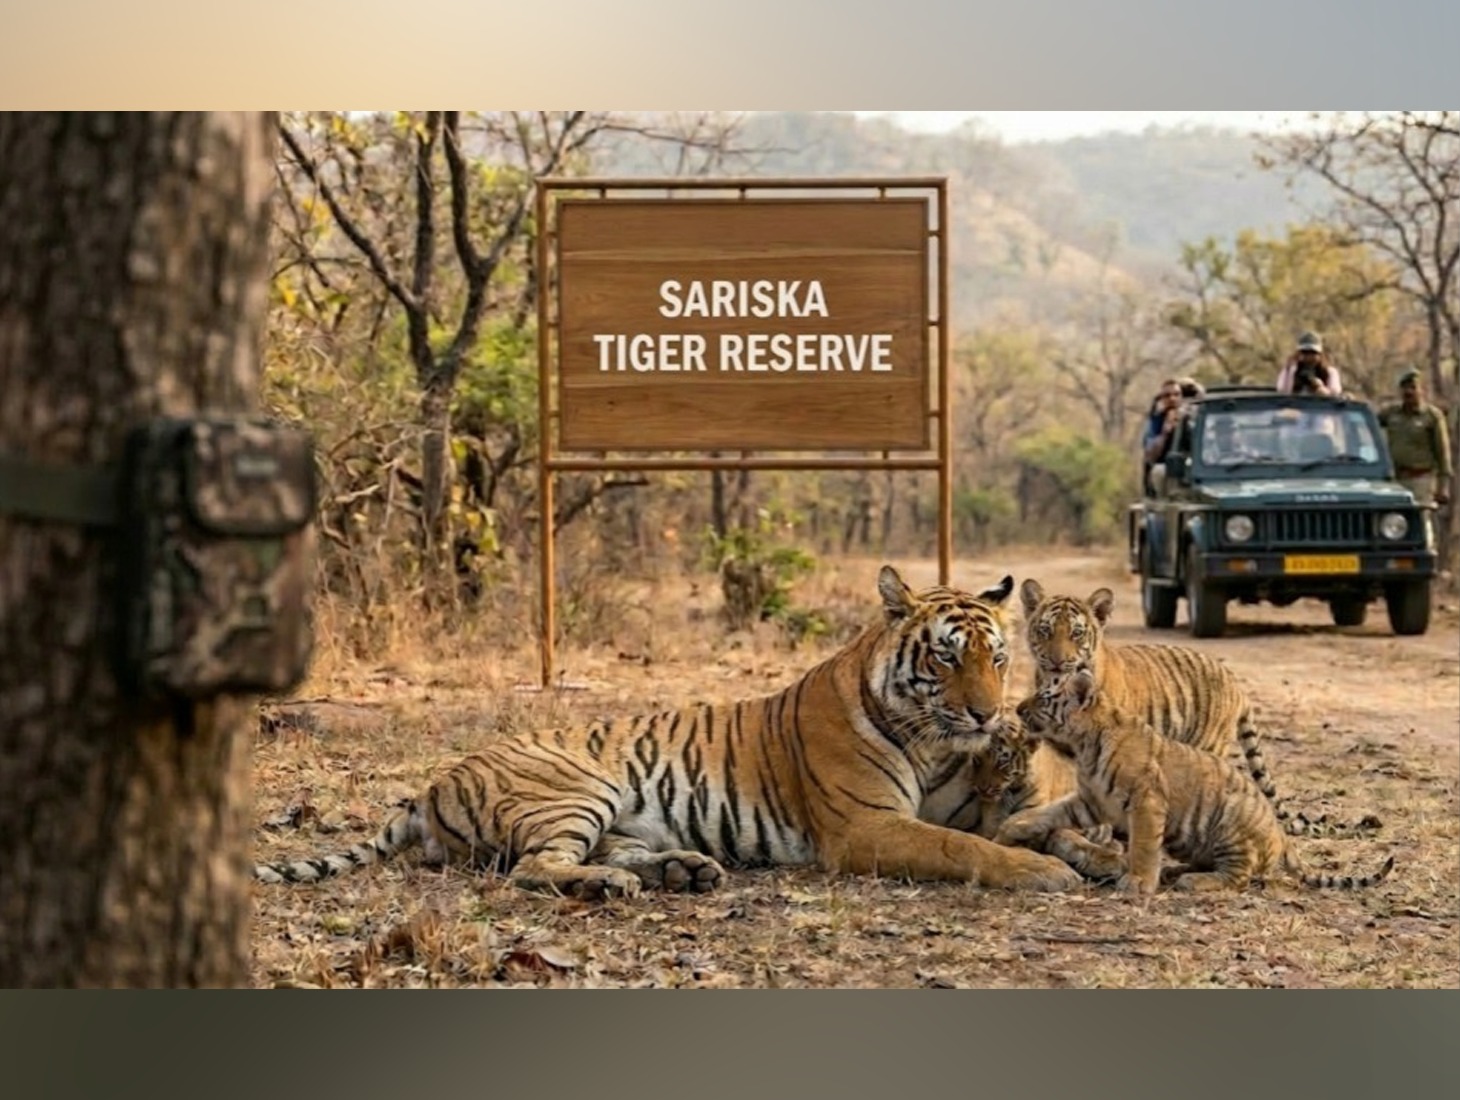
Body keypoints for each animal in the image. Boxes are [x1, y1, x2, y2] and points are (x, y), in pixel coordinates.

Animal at [253, 566, 1084, 899]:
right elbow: (964, 849)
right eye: (945, 657)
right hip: (576, 788)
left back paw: (684, 870)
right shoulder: (867, 826)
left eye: (996, 658)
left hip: (613, 815)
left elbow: (1015, 825)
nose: (986, 715)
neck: (934, 740)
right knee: (533, 867)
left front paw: (1080, 849)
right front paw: (1046, 873)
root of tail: (428, 787)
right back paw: (618, 885)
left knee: (602, 851)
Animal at [997, 669, 1395, 894]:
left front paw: (1138, 883)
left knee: (1238, 877)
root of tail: (1283, 836)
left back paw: (1192, 881)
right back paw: (1176, 871)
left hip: (1232, 826)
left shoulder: (1146, 801)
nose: (1017, 708)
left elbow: (1143, 847)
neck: (1084, 745)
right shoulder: (1090, 800)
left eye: (1045, 697)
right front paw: (1012, 827)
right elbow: (1050, 812)